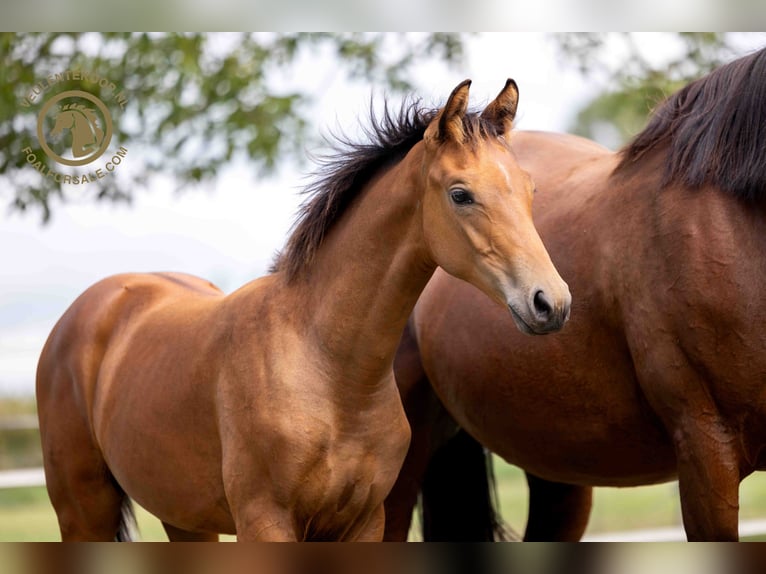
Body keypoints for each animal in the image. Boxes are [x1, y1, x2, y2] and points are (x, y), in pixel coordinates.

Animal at [37, 79, 576, 544]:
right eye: (461, 194)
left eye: (529, 190)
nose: (550, 302)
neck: (328, 370)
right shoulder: (266, 522)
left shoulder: (363, 522)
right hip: (83, 512)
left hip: (183, 518)